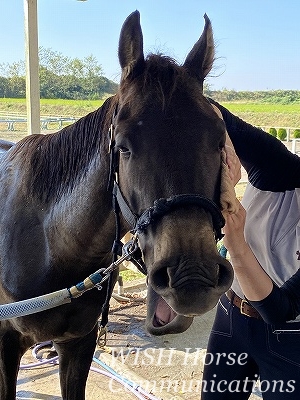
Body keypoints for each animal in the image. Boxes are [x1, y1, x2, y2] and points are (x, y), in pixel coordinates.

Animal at [0, 10, 232, 398]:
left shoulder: (78, 343)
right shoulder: (5, 343)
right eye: (123, 146)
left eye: (218, 140)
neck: (48, 244)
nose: (192, 277)